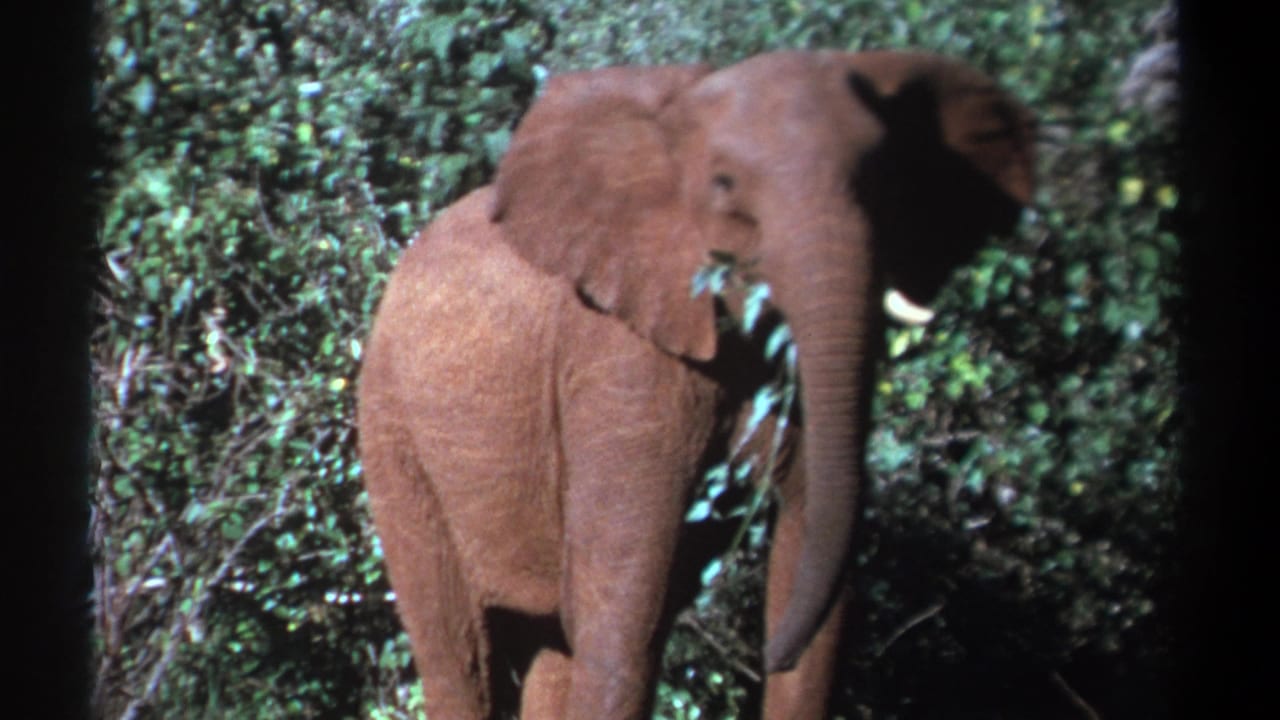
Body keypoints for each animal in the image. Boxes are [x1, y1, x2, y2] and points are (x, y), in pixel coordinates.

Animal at [357, 49, 1035, 719]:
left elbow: (812, 548)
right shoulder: (620, 351)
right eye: (725, 186)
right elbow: (626, 609)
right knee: (460, 651)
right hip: (392, 430)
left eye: (884, 186)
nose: (765, 660)